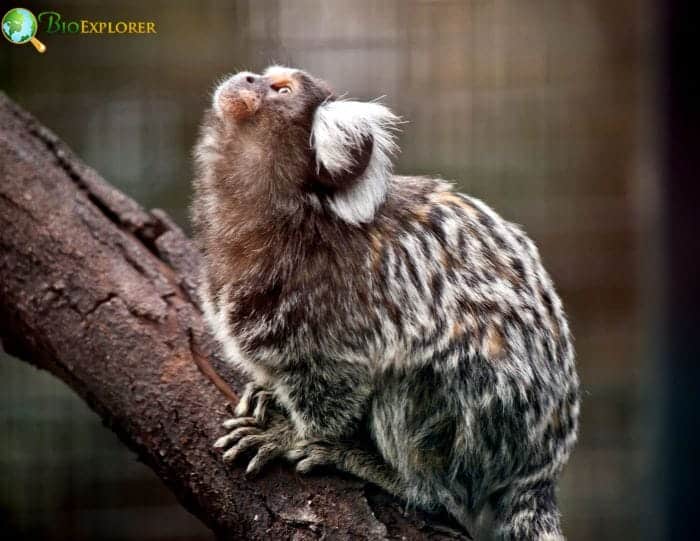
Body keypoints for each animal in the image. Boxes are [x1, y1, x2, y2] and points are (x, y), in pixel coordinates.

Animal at [191, 66, 579, 540]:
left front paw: (291, 435)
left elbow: (335, 388)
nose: (247, 78)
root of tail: (541, 467)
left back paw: (386, 472)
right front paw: (267, 391)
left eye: (281, 89)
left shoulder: (331, 323)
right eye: (264, 76)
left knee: (418, 396)